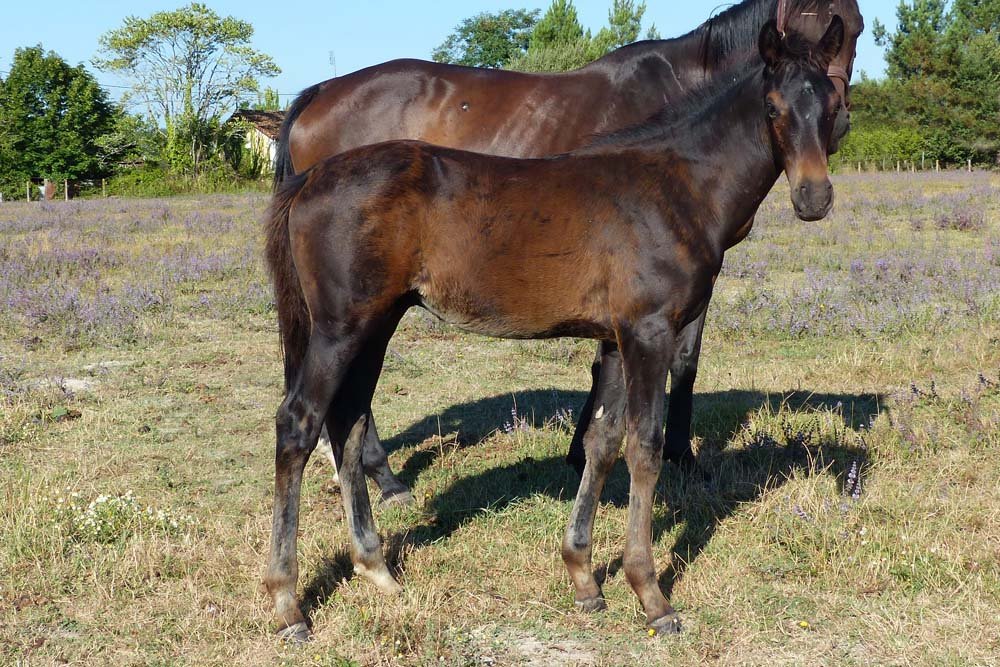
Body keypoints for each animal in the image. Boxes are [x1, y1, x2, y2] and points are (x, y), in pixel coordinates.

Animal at [263, 18, 846, 640]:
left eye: (833, 103)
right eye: (773, 106)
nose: (813, 197)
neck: (676, 184)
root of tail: (310, 179)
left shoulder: (616, 339)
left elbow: (602, 442)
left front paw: (585, 578)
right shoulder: (649, 332)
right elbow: (645, 446)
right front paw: (652, 596)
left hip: (375, 324)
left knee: (348, 421)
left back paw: (377, 569)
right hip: (338, 328)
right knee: (298, 424)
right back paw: (288, 603)